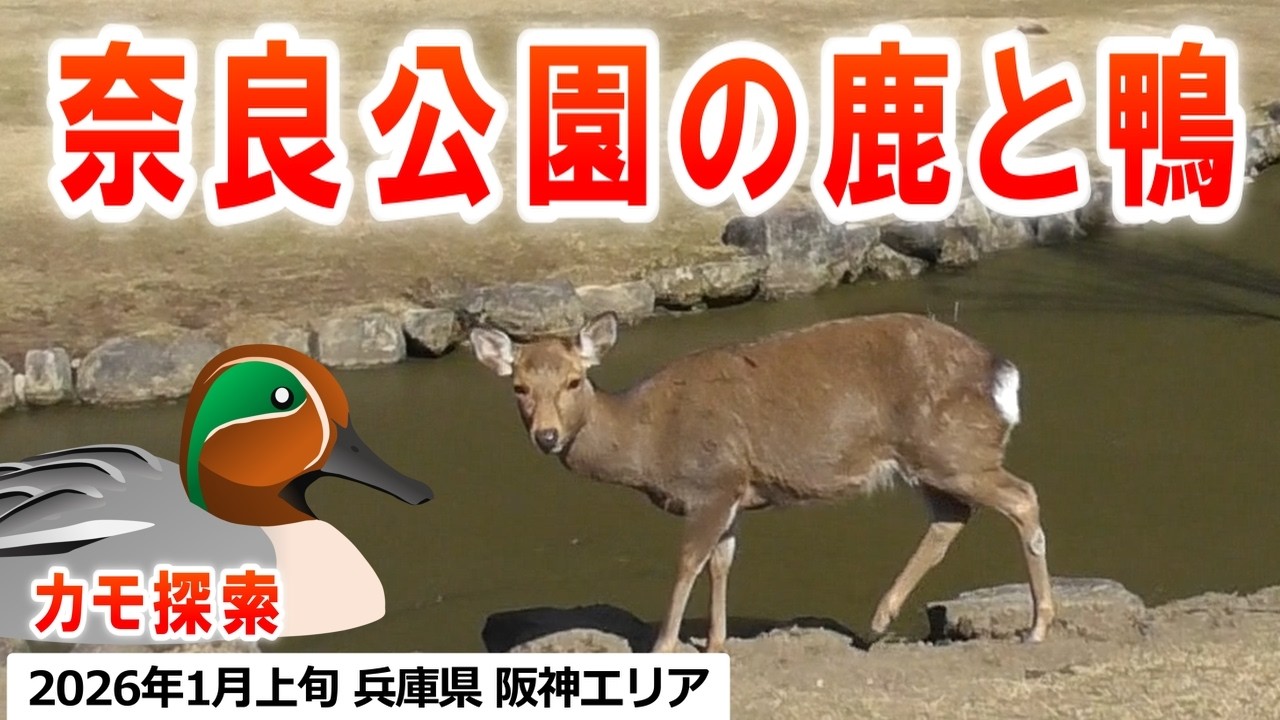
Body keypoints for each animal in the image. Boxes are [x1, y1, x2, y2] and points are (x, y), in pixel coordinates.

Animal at [468, 311, 1054, 653]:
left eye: (573, 380)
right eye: (519, 386)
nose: (547, 436)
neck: (647, 442)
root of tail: (1002, 373)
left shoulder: (711, 482)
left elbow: (688, 563)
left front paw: (664, 647)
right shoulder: (734, 494)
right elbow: (721, 564)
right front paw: (716, 642)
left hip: (952, 449)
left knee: (1023, 497)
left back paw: (1037, 626)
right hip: (932, 460)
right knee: (953, 516)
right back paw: (879, 619)